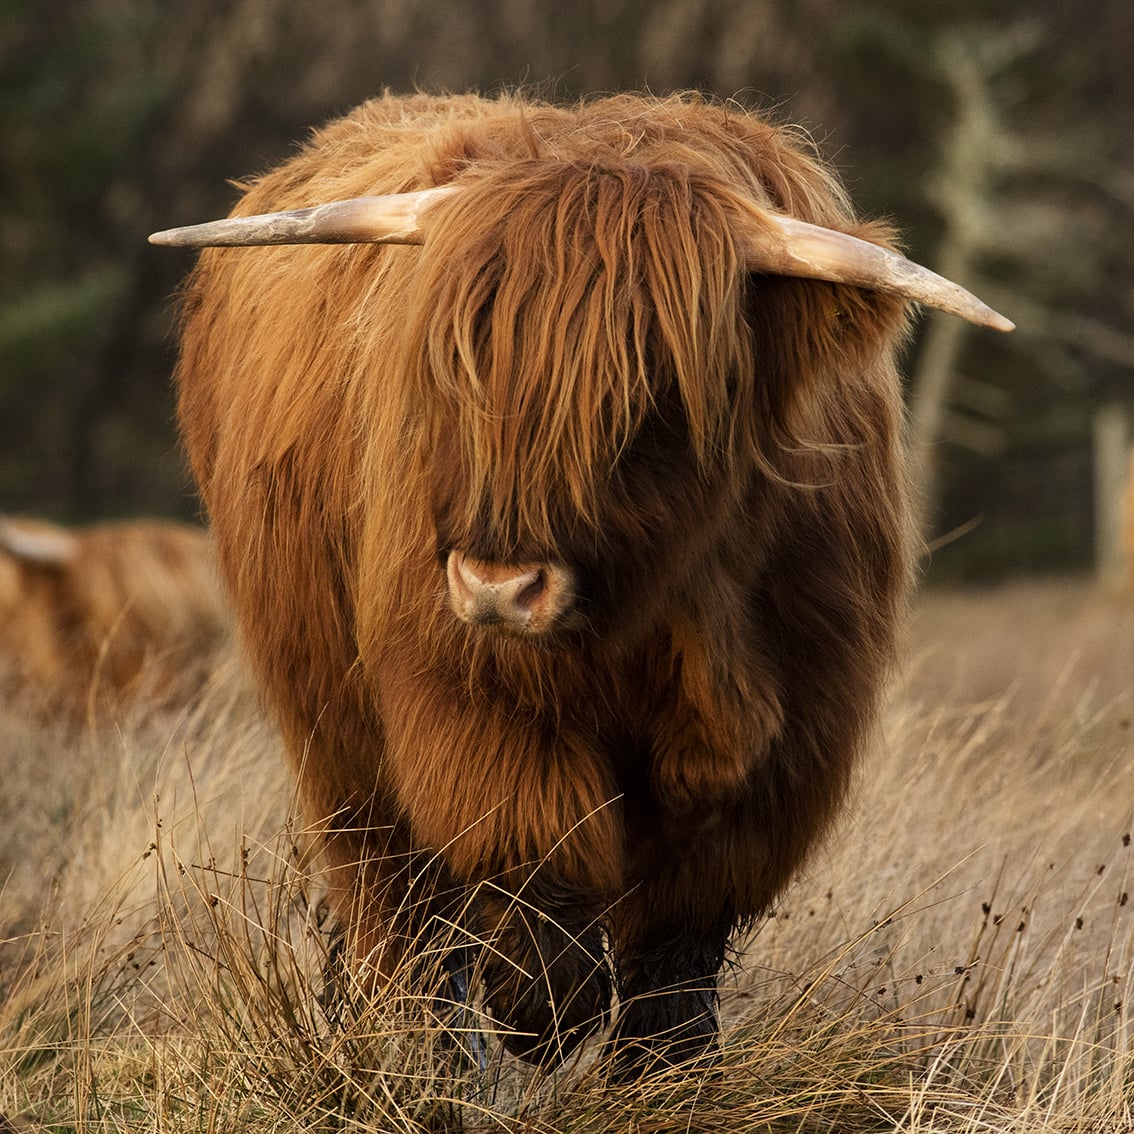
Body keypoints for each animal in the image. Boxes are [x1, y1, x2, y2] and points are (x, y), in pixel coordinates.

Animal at [155, 92, 1016, 1075]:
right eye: (453, 370)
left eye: (649, 396)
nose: (499, 586)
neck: (671, 603)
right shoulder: (466, 694)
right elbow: (535, 854)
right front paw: (537, 1007)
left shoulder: (793, 735)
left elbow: (681, 936)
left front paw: (661, 1071)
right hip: (329, 722)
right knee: (392, 903)